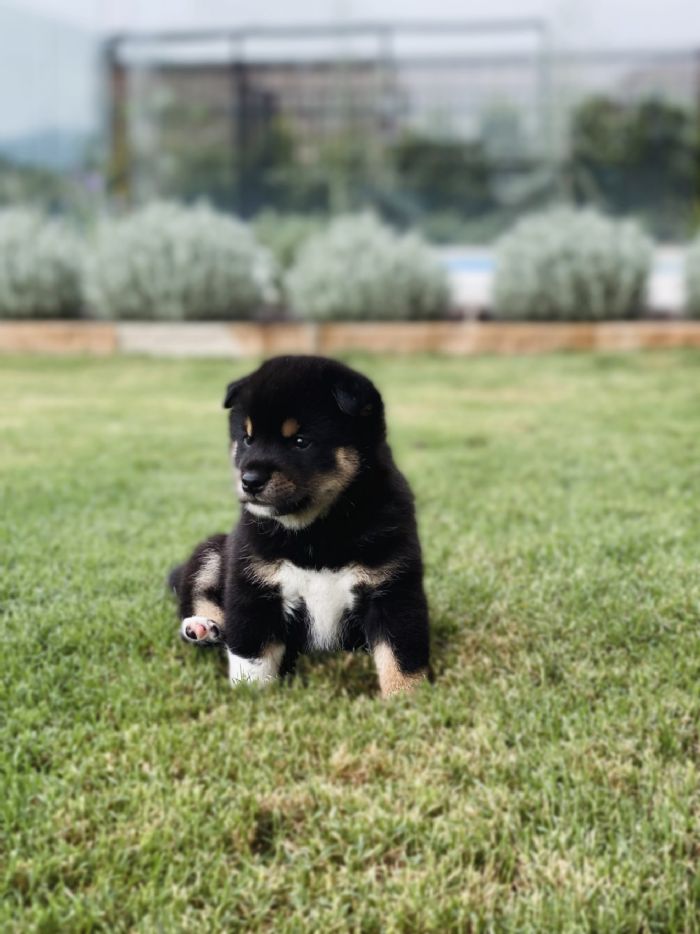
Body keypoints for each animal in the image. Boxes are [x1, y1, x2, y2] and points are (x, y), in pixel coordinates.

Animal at [171, 354, 432, 700]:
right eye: (247, 438)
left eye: (300, 441)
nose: (249, 480)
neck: (316, 532)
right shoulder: (253, 586)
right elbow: (251, 655)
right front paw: (251, 696)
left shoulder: (392, 589)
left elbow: (400, 656)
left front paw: (407, 700)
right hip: (212, 550)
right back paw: (202, 628)